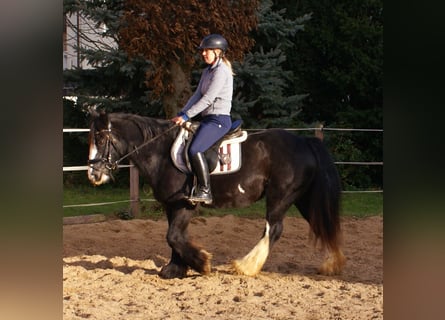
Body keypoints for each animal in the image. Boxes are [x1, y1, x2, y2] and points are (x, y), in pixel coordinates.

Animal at [86, 111, 344, 278]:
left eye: (101, 138)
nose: (93, 175)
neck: (160, 152)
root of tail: (303, 141)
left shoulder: (185, 204)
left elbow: (173, 236)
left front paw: (202, 264)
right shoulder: (172, 205)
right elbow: (175, 236)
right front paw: (175, 269)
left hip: (280, 197)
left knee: (274, 229)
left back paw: (246, 266)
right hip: (302, 198)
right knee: (321, 224)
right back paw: (332, 264)